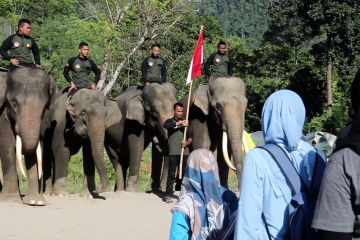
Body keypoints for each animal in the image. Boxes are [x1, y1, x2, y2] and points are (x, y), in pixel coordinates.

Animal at [0, 66, 56, 205]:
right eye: (14, 104)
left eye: (44, 107)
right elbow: (7, 145)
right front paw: (11, 200)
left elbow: (35, 149)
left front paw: (36, 202)